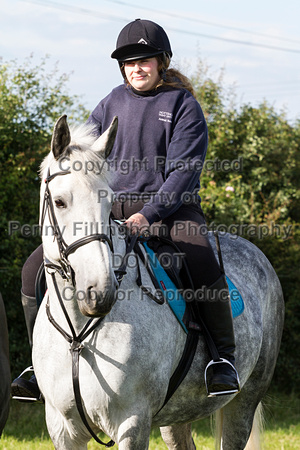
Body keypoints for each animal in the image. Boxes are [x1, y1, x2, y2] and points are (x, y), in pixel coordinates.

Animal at [32, 117, 284, 450]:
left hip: (243, 402)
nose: (99, 293)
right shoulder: (62, 430)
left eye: (109, 204)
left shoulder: (132, 423)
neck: (79, 334)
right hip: (179, 413)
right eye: (60, 202)